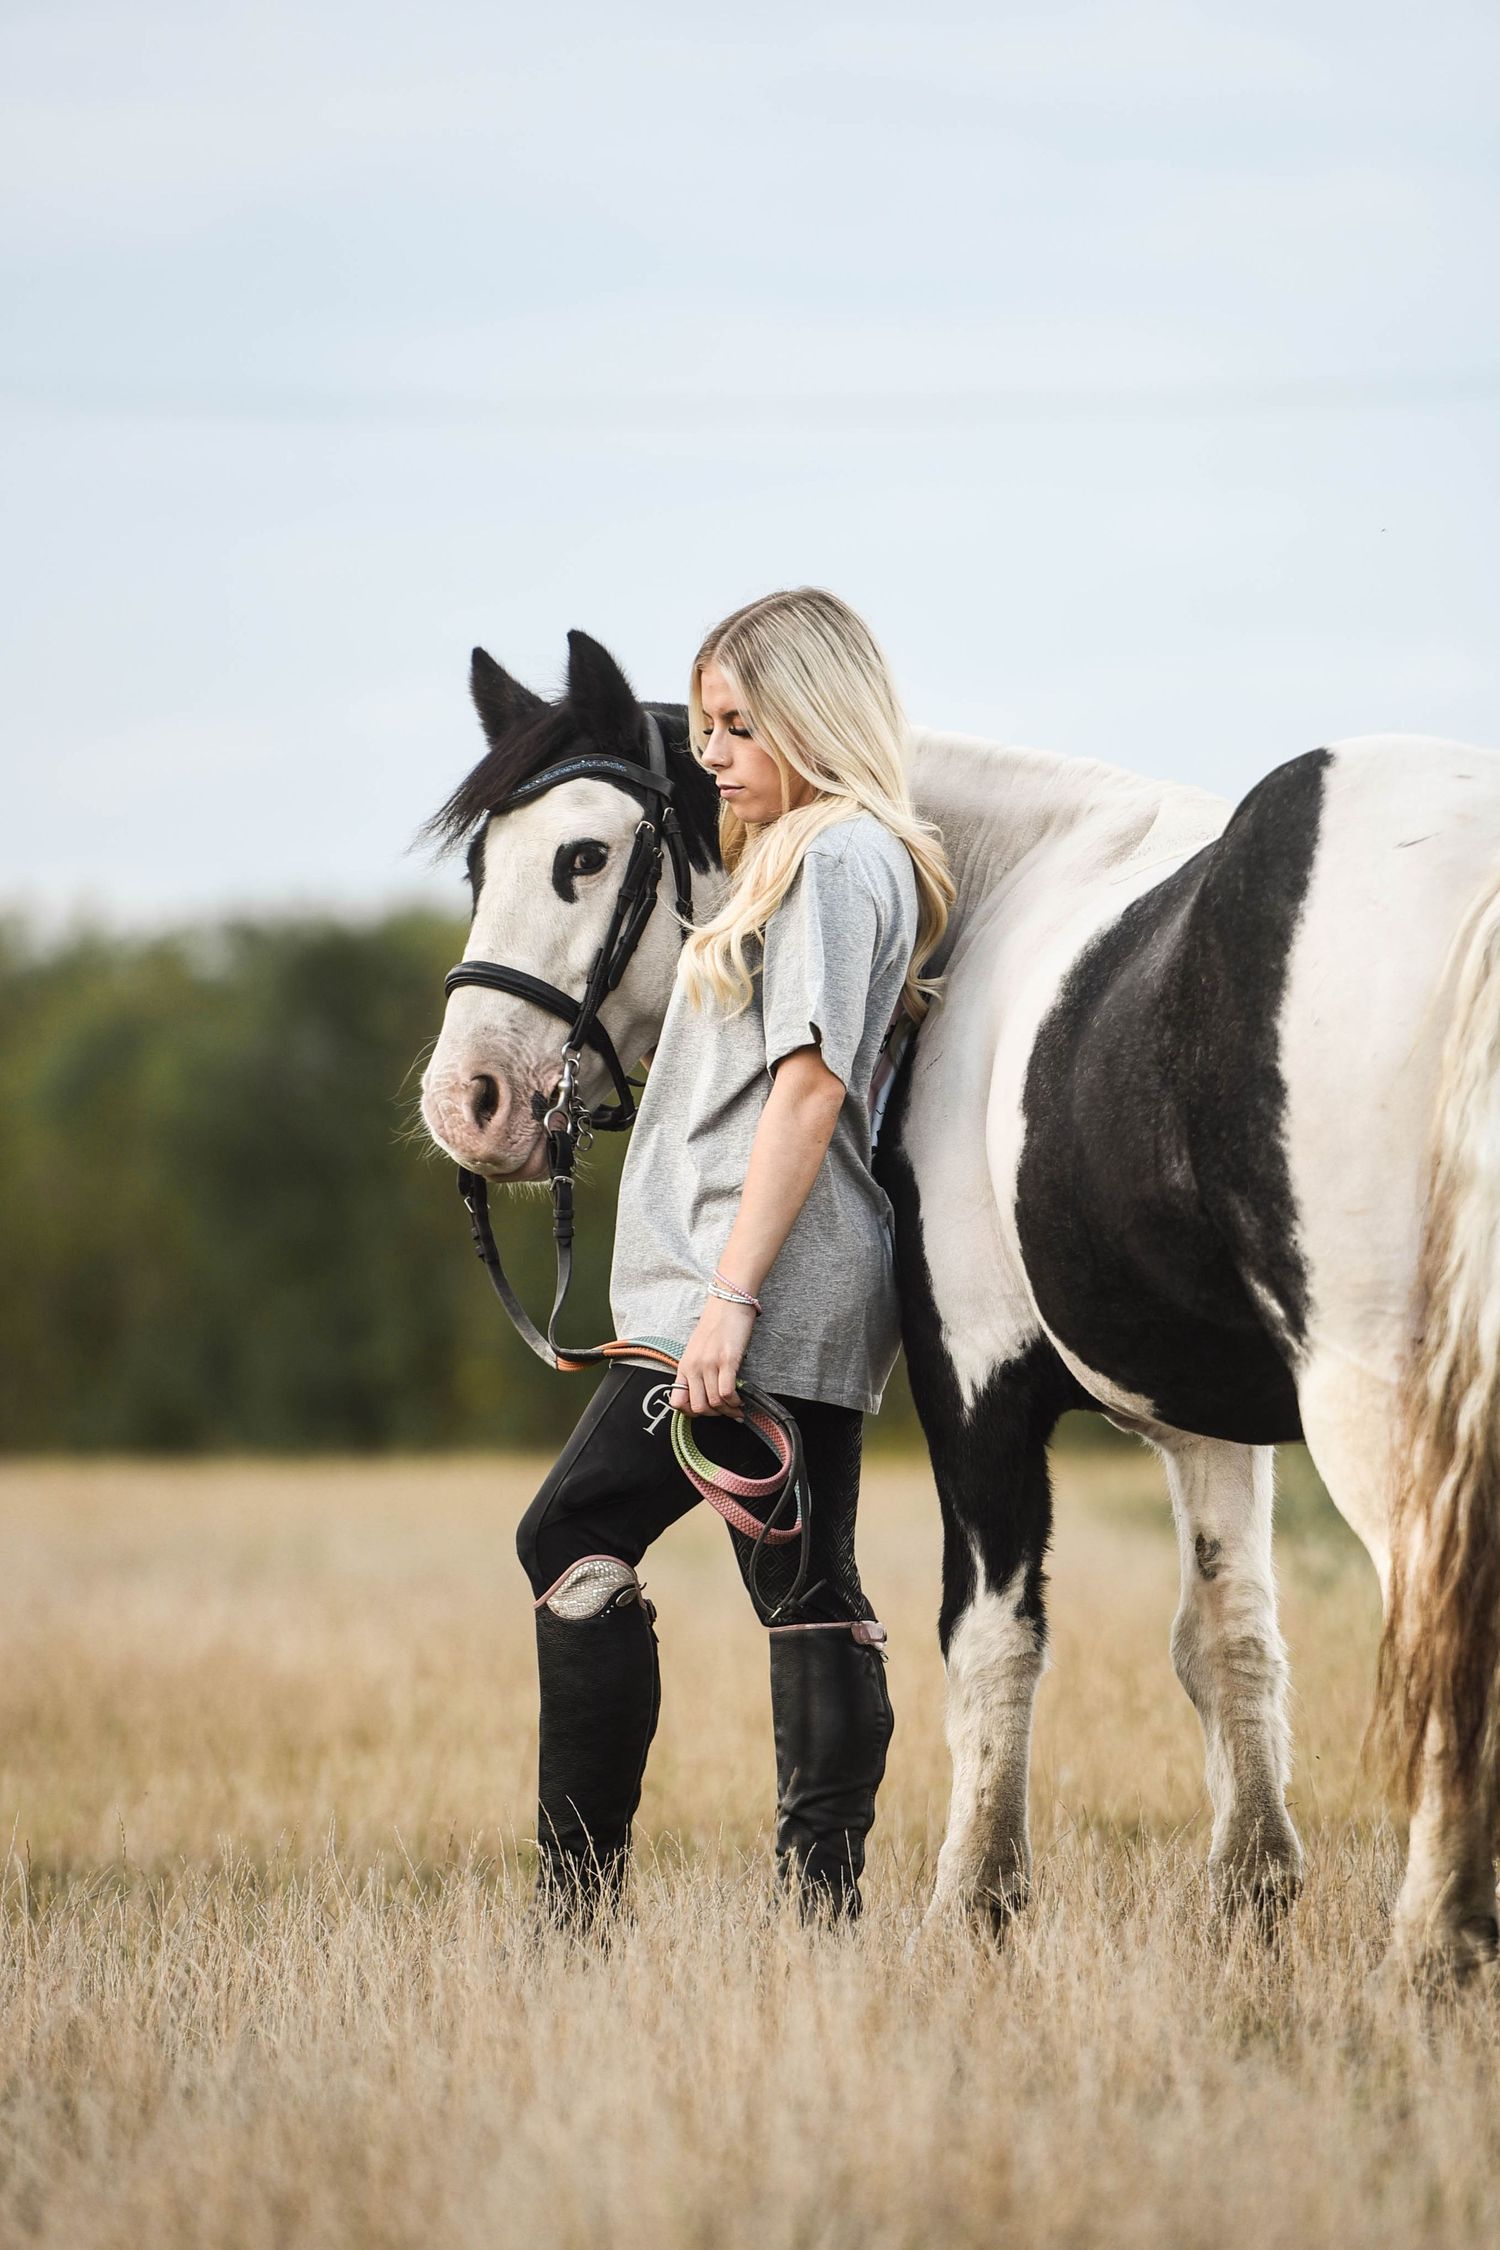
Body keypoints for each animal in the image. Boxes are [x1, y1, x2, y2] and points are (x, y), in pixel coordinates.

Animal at [420, 626, 1500, 1982]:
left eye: (584, 856)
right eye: (480, 861)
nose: (467, 1102)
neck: (991, 884)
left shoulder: (975, 1383)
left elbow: (993, 1639)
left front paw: (970, 1908)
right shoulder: (1205, 1420)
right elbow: (1228, 1635)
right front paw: (1250, 1897)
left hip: (1380, 1400)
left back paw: (1434, 1947)